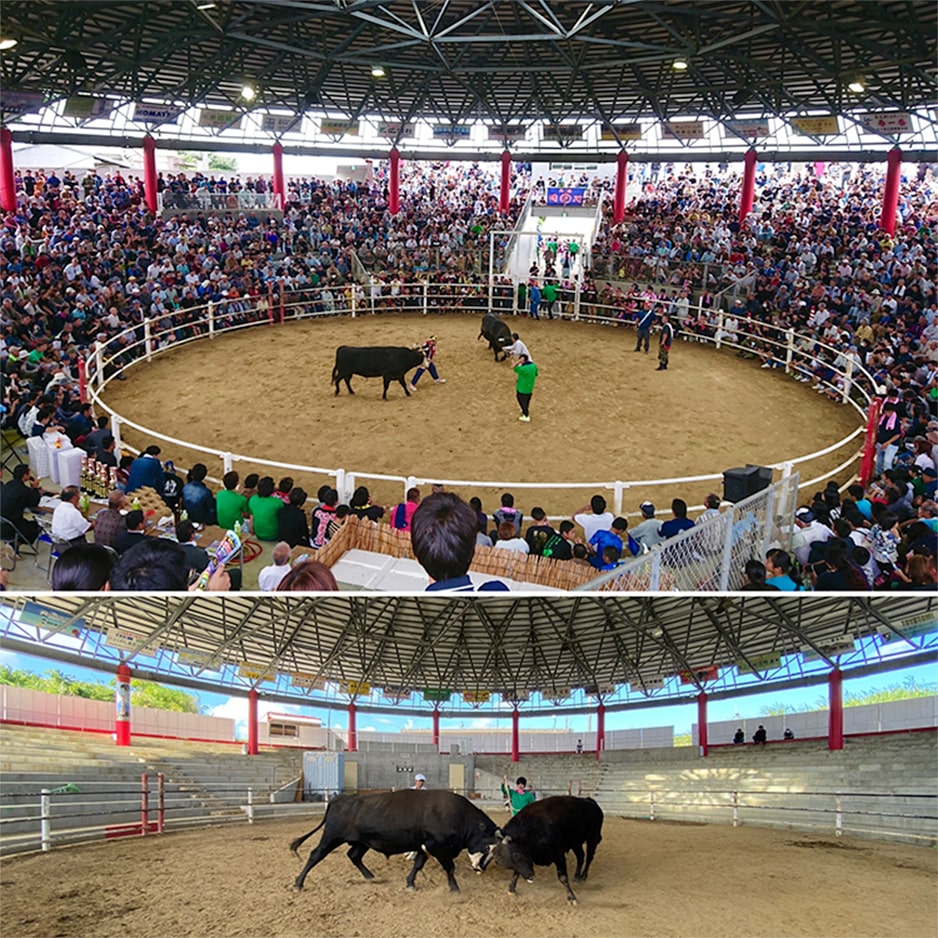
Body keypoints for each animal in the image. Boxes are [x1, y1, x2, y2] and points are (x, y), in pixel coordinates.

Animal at [290, 788, 498, 888]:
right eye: (488, 846)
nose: (480, 869)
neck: (458, 816)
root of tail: (338, 799)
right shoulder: (438, 847)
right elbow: (449, 867)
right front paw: (455, 888)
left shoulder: (424, 846)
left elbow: (418, 864)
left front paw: (410, 883)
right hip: (332, 837)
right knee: (316, 855)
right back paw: (299, 883)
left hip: (362, 842)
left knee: (354, 856)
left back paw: (369, 876)